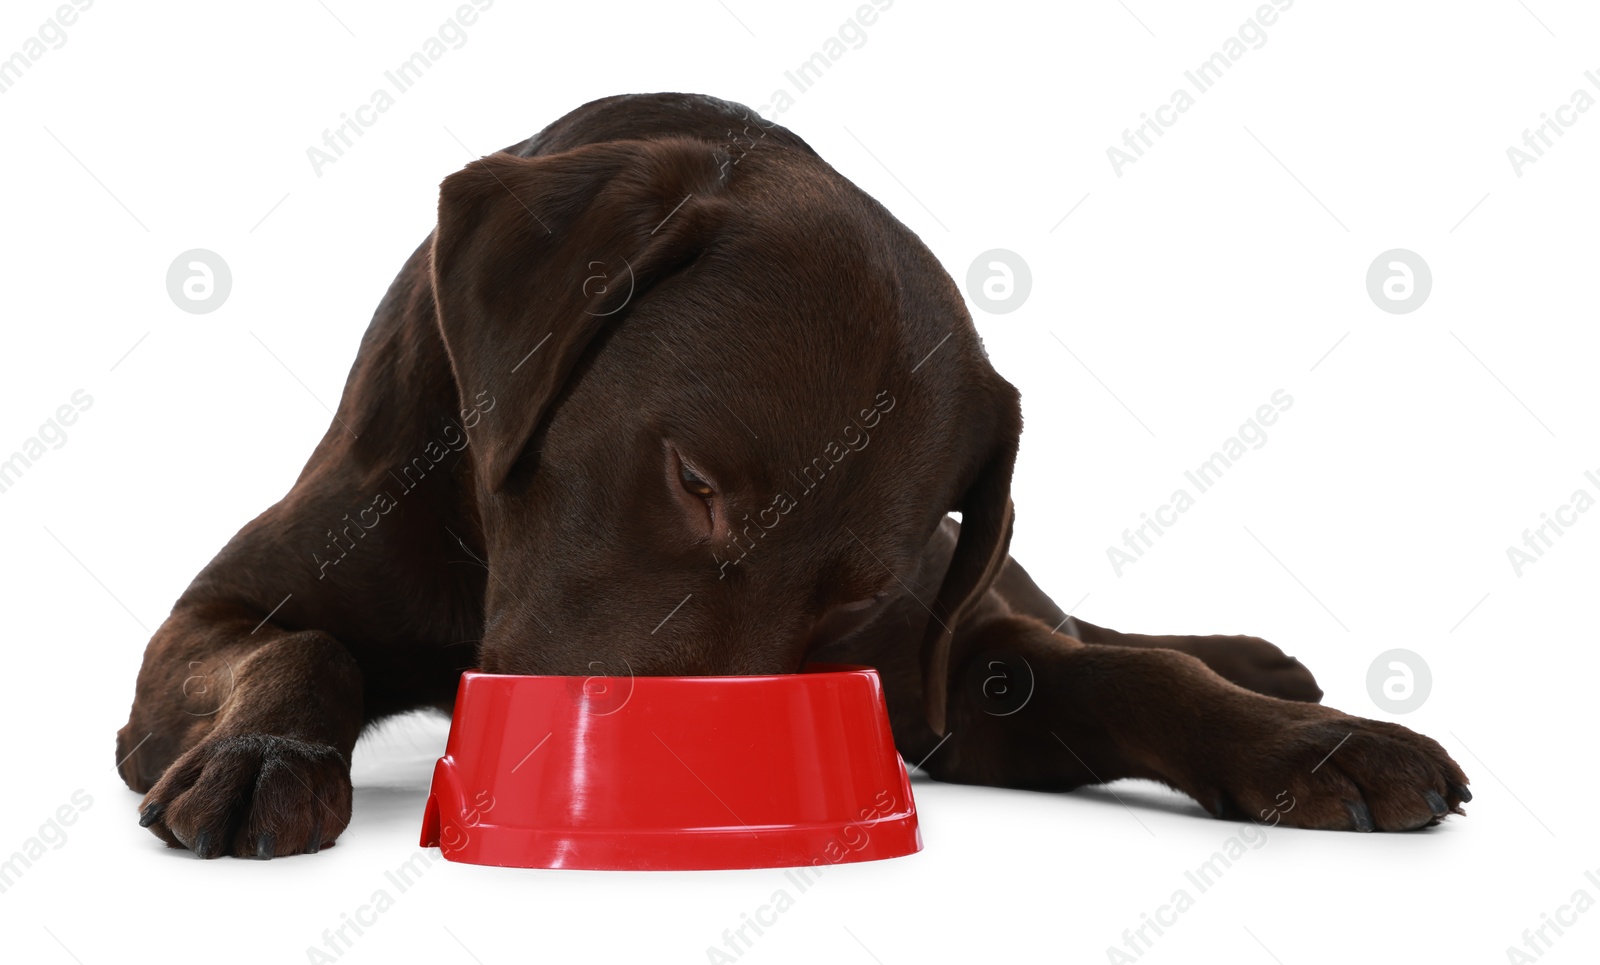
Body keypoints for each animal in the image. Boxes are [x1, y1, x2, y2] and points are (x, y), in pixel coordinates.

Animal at [118, 92, 1472, 857]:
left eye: (849, 586)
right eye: (691, 479)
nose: (667, 796)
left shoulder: (945, 660)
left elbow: (1123, 674)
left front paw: (1314, 741)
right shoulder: (214, 614)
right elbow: (304, 646)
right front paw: (264, 757)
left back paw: (1260, 661)